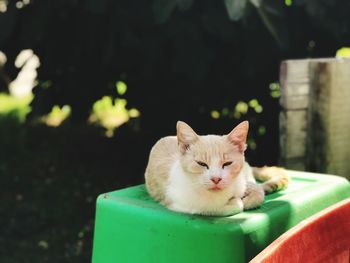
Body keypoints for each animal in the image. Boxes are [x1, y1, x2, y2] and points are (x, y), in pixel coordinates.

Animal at [144, 121, 288, 217]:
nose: (216, 179)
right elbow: (217, 208)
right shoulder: (180, 202)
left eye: (227, 163)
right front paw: (237, 202)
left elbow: (257, 192)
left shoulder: (243, 182)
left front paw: (247, 200)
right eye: (201, 164)